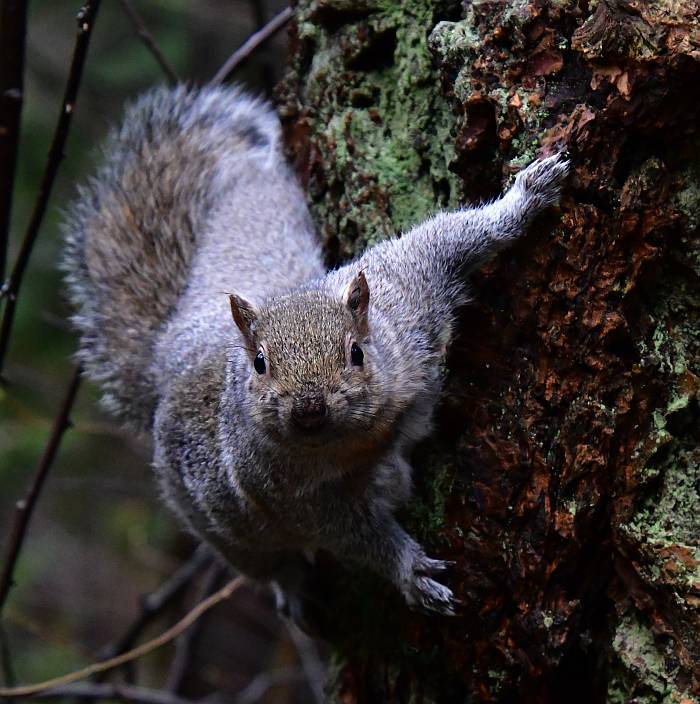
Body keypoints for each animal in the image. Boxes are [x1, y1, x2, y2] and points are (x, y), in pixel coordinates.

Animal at [61, 85, 568, 624]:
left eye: (357, 352)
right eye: (260, 364)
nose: (308, 409)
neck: (363, 436)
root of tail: (170, 356)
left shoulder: (406, 294)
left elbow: (451, 240)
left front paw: (528, 197)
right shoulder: (290, 495)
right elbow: (351, 534)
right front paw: (408, 570)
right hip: (226, 532)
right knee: (264, 561)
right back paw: (290, 587)